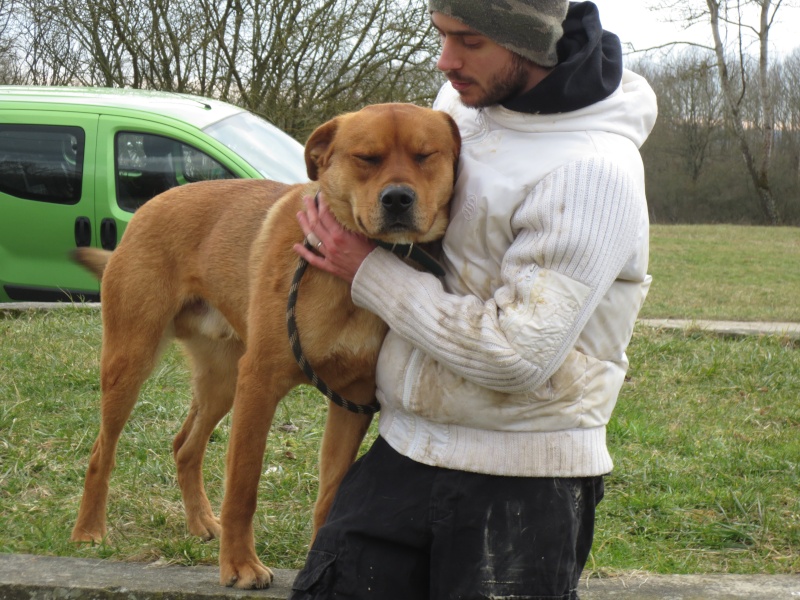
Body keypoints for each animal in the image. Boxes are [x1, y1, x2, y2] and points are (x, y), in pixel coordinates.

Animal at [71, 102, 460, 584]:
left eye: (425, 156)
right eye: (366, 158)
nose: (398, 199)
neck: (353, 269)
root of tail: (150, 204)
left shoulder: (352, 400)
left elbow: (331, 491)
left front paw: (315, 561)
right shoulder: (260, 383)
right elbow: (243, 485)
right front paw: (239, 564)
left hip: (221, 380)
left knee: (185, 446)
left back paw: (201, 522)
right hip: (131, 362)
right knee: (101, 451)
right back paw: (89, 530)